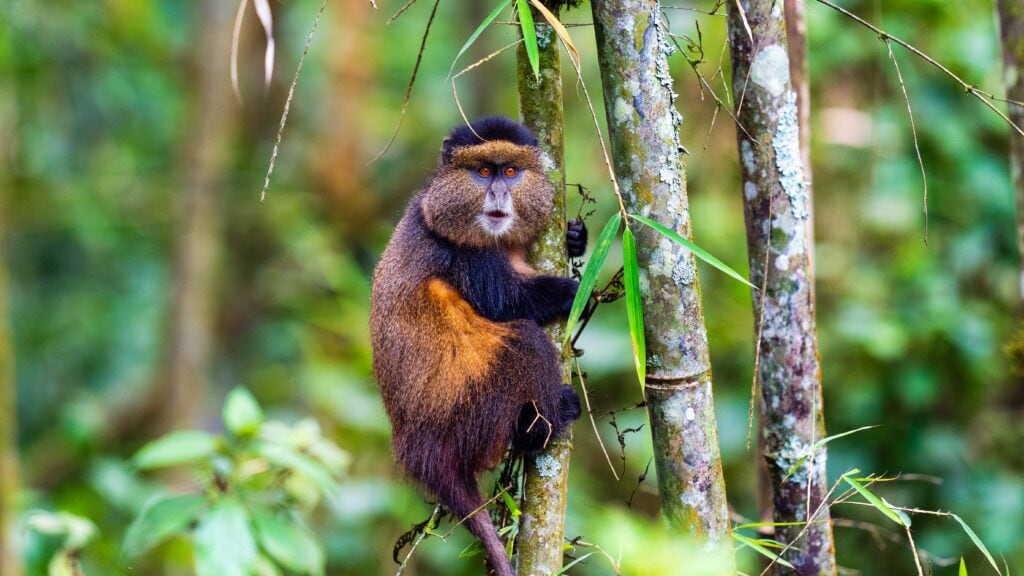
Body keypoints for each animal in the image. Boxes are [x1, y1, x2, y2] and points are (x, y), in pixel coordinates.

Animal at [370, 116, 586, 576]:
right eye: (484, 171)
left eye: (511, 171)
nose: (499, 194)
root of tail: (419, 451)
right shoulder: (466, 256)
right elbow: (507, 301)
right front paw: (570, 290)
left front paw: (577, 237)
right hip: (470, 412)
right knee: (527, 342)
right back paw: (543, 428)